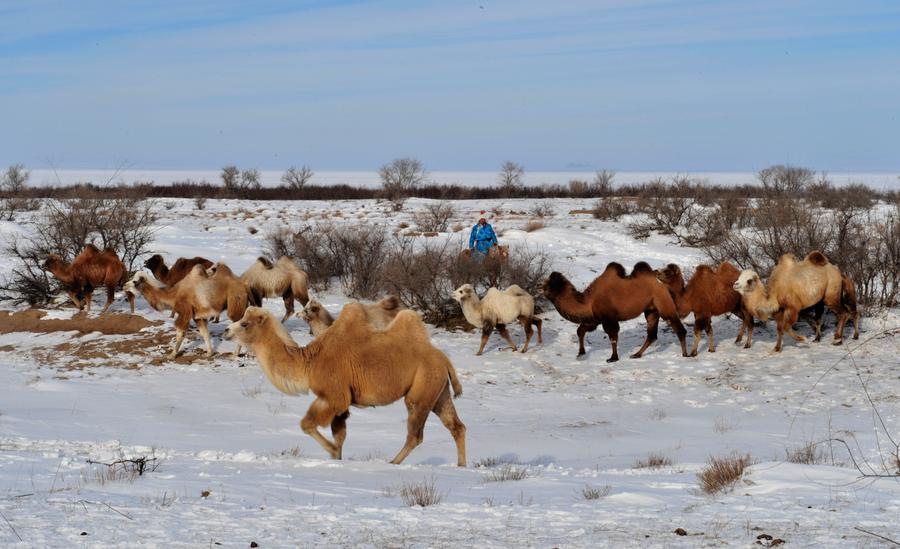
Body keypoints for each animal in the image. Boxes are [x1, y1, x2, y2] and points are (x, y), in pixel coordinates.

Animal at [225, 306, 468, 464]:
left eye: (245, 323)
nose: (227, 331)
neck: (309, 362)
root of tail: (444, 360)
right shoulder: (342, 403)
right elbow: (339, 434)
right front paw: (337, 457)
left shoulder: (334, 395)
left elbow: (307, 424)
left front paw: (333, 453)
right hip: (439, 392)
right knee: (456, 426)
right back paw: (461, 466)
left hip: (420, 391)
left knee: (415, 433)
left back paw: (392, 463)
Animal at [540, 262, 688, 362]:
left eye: (549, 285)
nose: (540, 288)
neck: (589, 301)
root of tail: (664, 284)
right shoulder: (594, 319)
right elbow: (580, 331)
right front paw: (581, 353)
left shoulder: (608, 318)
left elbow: (613, 336)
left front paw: (613, 358)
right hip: (651, 309)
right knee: (652, 335)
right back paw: (636, 354)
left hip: (664, 303)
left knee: (679, 329)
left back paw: (685, 354)